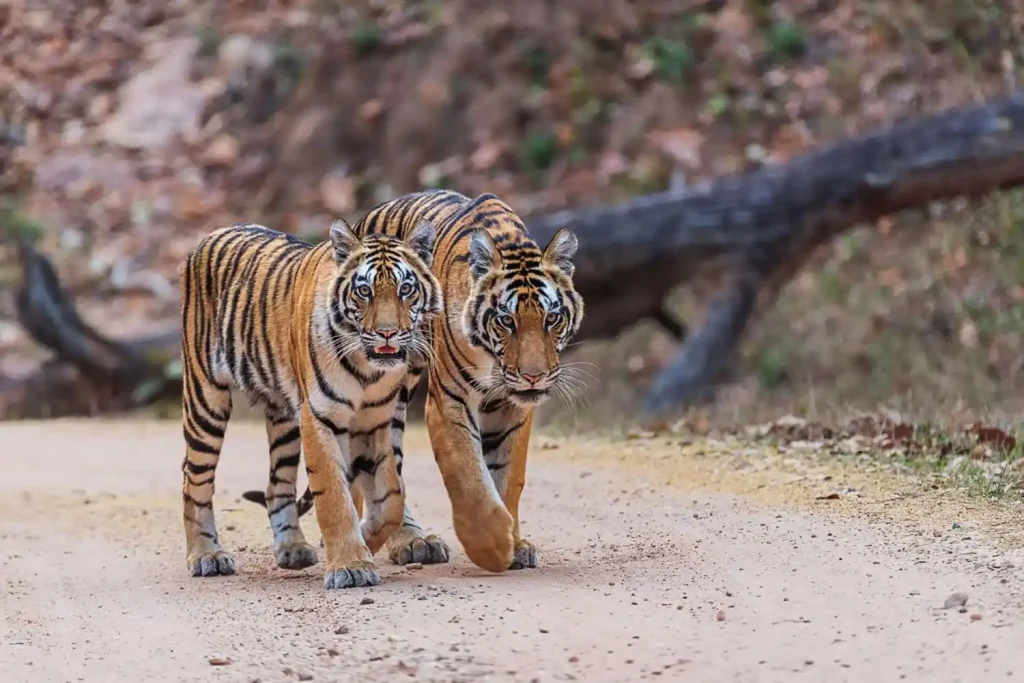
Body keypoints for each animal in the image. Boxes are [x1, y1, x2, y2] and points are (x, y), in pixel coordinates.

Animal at [178, 214, 442, 590]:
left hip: (284, 417)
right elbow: (333, 495)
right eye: (364, 291)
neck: (368, 370)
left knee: (277, 485)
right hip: (206, 399)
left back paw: (293, 548)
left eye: (406, 289)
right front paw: (351, 565)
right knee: (194, 480)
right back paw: (206, 556)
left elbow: (391, 494)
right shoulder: (320, 417)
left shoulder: (375, 420)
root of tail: (211, 234)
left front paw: (369, 537)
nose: (388, 333)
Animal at [250, 189, 585, 573]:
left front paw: (514, 544)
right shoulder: (449, 402)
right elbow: (469, 477)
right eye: (506, 321)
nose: (534, 376)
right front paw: (493, 546)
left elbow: (509, 477)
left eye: (552, 318)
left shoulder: (514, 409)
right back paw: (406, 541)